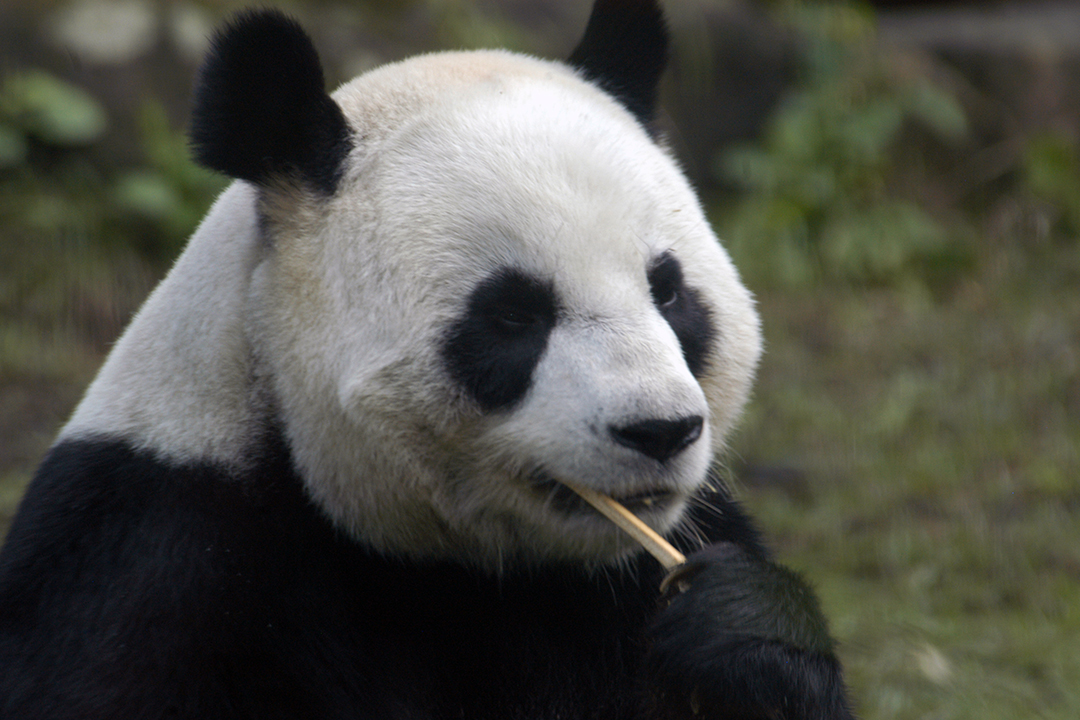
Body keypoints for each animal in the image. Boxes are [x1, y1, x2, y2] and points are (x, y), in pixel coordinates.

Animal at [0, 1, 855, 718]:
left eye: (670, 292)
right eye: (512, 315)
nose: (659, 431)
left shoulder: (615, 592)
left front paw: (744, 633)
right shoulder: (155, 567)